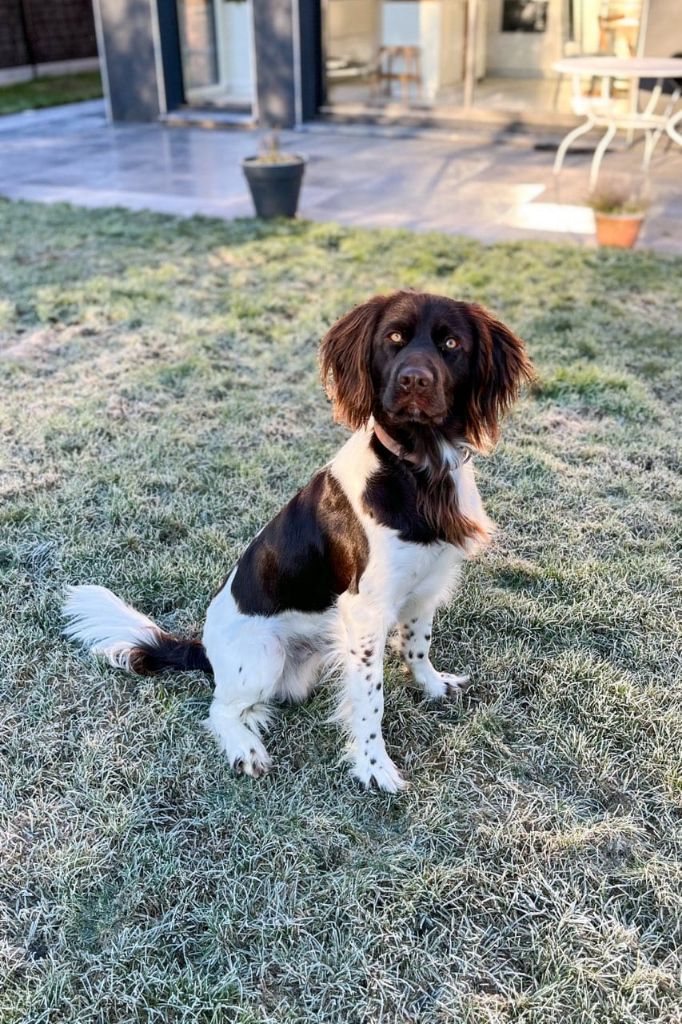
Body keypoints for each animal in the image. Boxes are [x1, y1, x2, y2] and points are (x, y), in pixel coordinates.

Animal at [63, 288, 532, 790]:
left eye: (450, 344)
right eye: (394, 338)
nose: (414, 381)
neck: (417, 468)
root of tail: (203, 649)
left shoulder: (426, 585)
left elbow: (417, 644)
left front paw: (432, 685)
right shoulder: (365, 611)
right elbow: (371, 702)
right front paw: (374, 766)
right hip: (263, 656)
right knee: (219, 709)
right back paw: (245, 746)